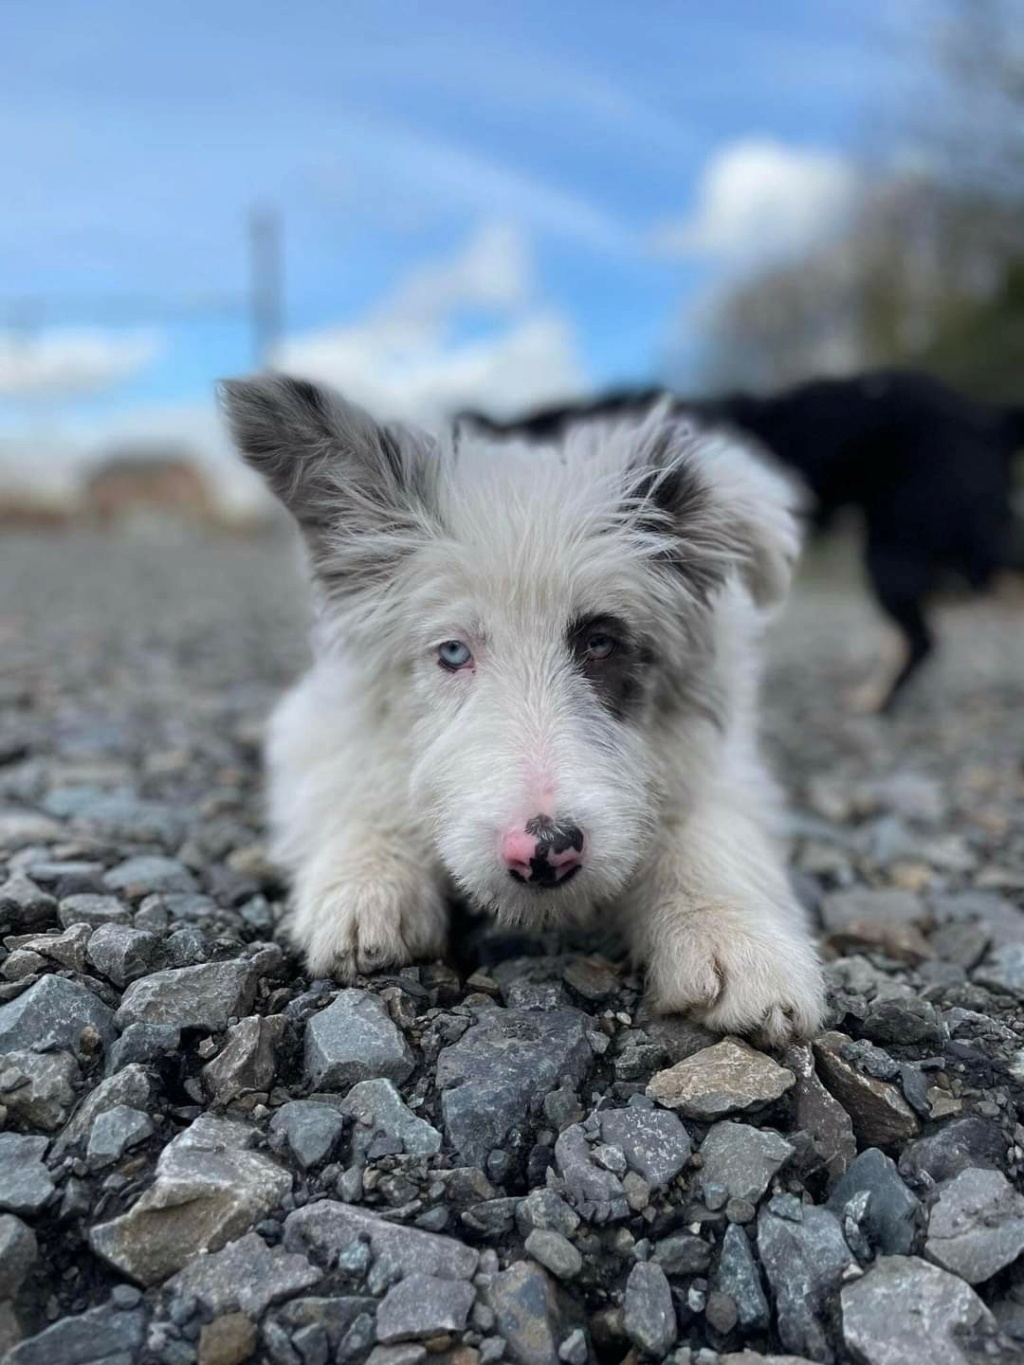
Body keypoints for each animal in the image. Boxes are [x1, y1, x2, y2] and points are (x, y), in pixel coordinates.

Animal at [222, 376, 824, 1042]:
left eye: (600, 643)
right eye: (453, 652)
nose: (546, 850)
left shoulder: (721, 754)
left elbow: (710, 823)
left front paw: (729, 930)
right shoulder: (315, 721)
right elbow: (354, 780)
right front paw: (367, 880)